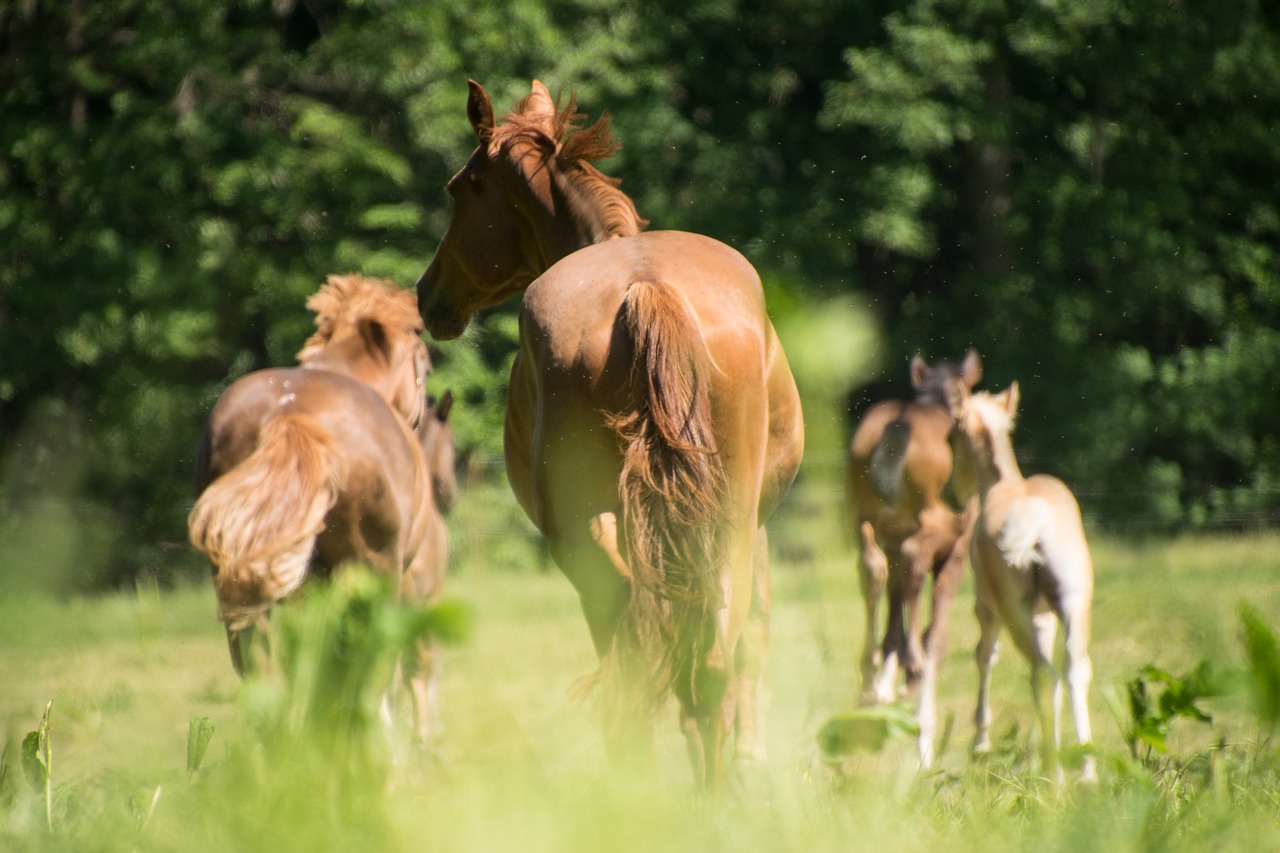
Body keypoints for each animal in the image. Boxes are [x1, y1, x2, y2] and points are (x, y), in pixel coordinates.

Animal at [417, 79, 798, 783]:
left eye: (460, 187)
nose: (428, 295)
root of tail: (644, 286)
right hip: (721, 525)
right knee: (703, 658)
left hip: (591, 535)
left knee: (640, 649)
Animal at [844, 345, 983, 763]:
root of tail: (899, 425)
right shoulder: (955, 551)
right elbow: (934, 629)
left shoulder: (890, 543)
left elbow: (895, 608)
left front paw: (887, 679)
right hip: (928, 532)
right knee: (914, 573)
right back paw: (910, 671)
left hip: (863, 521)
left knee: (873, 571)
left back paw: (871, 676)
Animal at [952, 381, 1100, 778]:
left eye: (952, 437)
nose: (952, 495)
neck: (1004, 487)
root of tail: (1034, 518)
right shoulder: (1044, 617)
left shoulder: (987, 610)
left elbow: (985, 656)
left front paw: (980, 743)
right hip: (1074, 605)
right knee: (1073, 670)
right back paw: (1086, 772)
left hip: (1012, 614)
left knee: (1043, 675)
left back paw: (1056, 774)